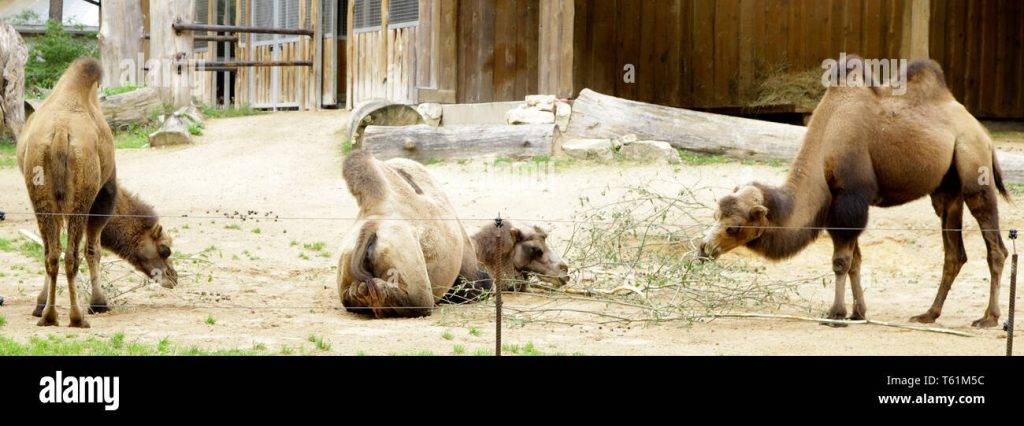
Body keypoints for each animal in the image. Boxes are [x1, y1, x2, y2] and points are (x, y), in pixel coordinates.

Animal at [704, 57, 1007, 329]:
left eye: (732, 227)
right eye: (716, 215)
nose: (704, 248)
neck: (825, 147)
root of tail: (981, 130)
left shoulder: (851, 198)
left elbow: (841, 262)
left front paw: (835, 314)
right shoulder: (838, 205)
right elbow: (855, 261)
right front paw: (858, 313)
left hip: (973, 164)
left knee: (995, 246)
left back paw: (989, 318)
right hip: (946, 188)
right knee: (954, 253)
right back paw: (928, 314)